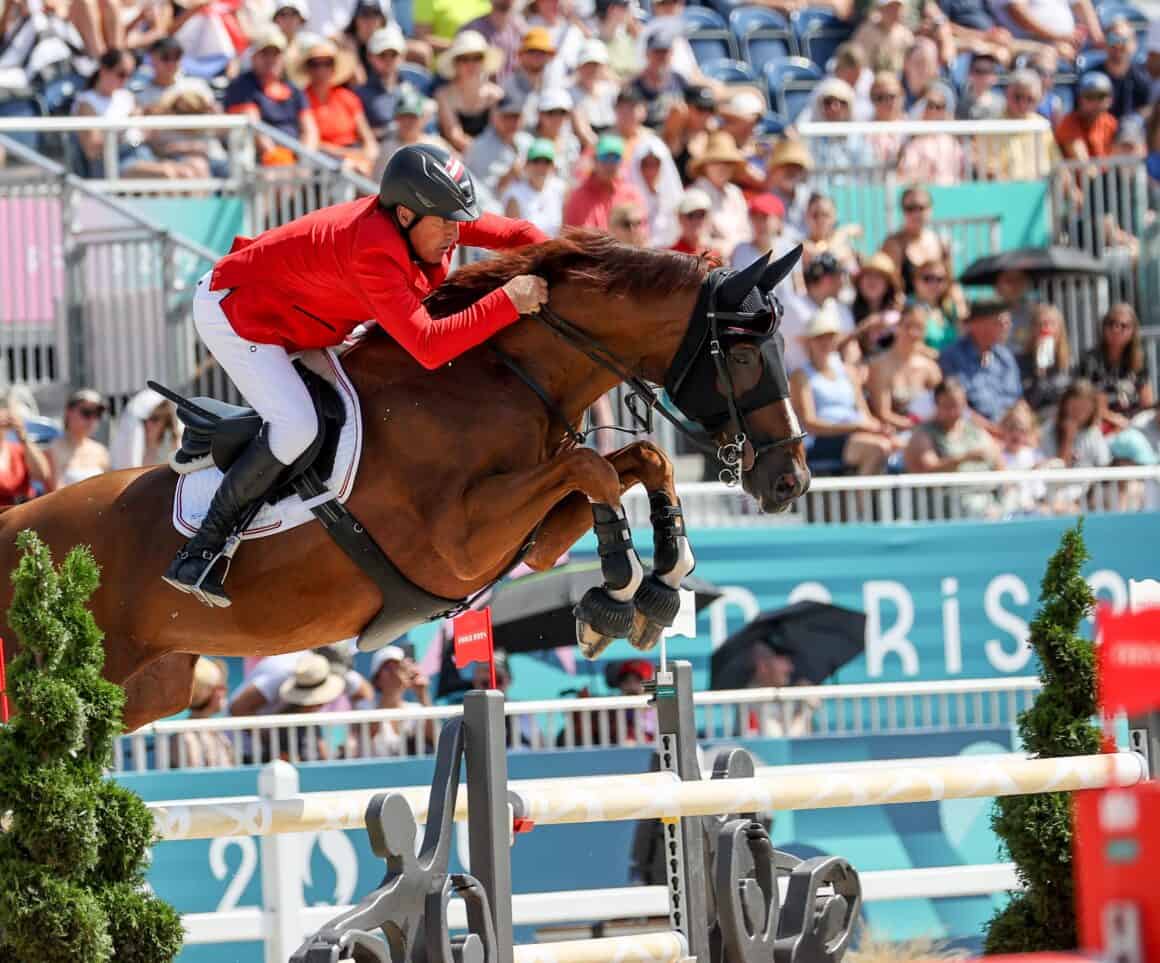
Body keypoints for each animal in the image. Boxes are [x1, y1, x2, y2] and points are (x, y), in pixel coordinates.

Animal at [0, 234, 807, 733]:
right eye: (743, 358)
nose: (790, 481)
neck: (496, 379)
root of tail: (15, 526)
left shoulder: (529, 540)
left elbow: (636, 462)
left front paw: (659, 583)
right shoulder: (455, 544)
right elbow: (596, 466)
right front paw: (616, 593)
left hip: (145, 687)